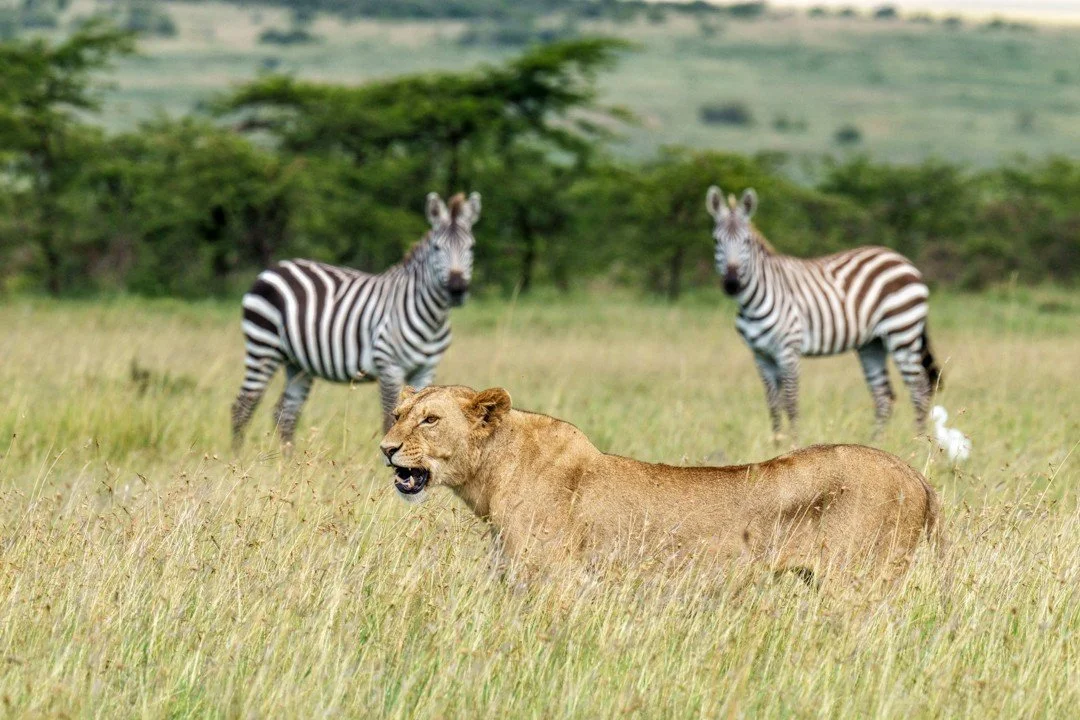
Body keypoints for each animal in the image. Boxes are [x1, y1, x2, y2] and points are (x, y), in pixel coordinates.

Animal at [379, 385, 940, 585]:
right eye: (398, 414)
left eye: (430, 420)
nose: (386, 448)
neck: (491, 473)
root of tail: (915, 475)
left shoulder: (557, 580)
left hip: (859, 583)